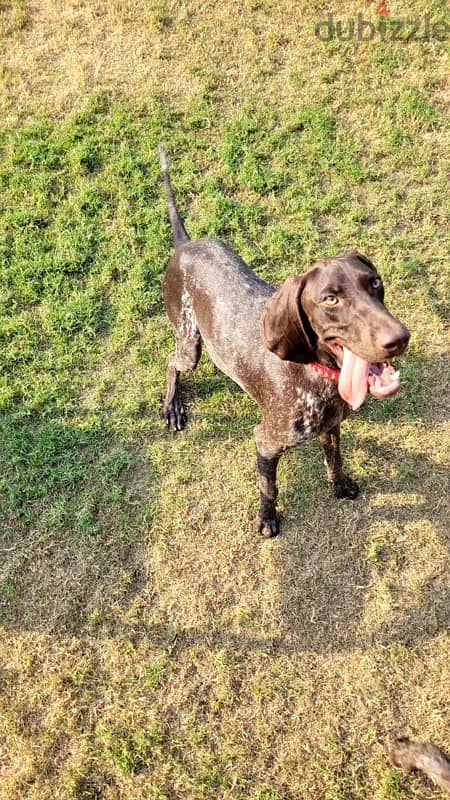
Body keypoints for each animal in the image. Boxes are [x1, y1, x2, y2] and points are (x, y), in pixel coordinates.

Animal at [159, 149, 412, 536]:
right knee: (172, 363)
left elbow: (335, 459)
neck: (316, 374)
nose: (399, 338)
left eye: (375, 283)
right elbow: (270, 487)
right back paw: (173, 405)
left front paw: (340, 486)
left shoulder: (331, 426)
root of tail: (186, 244)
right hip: (189, 342)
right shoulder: (265, 441)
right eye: (330, 299)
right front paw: (267, 518)